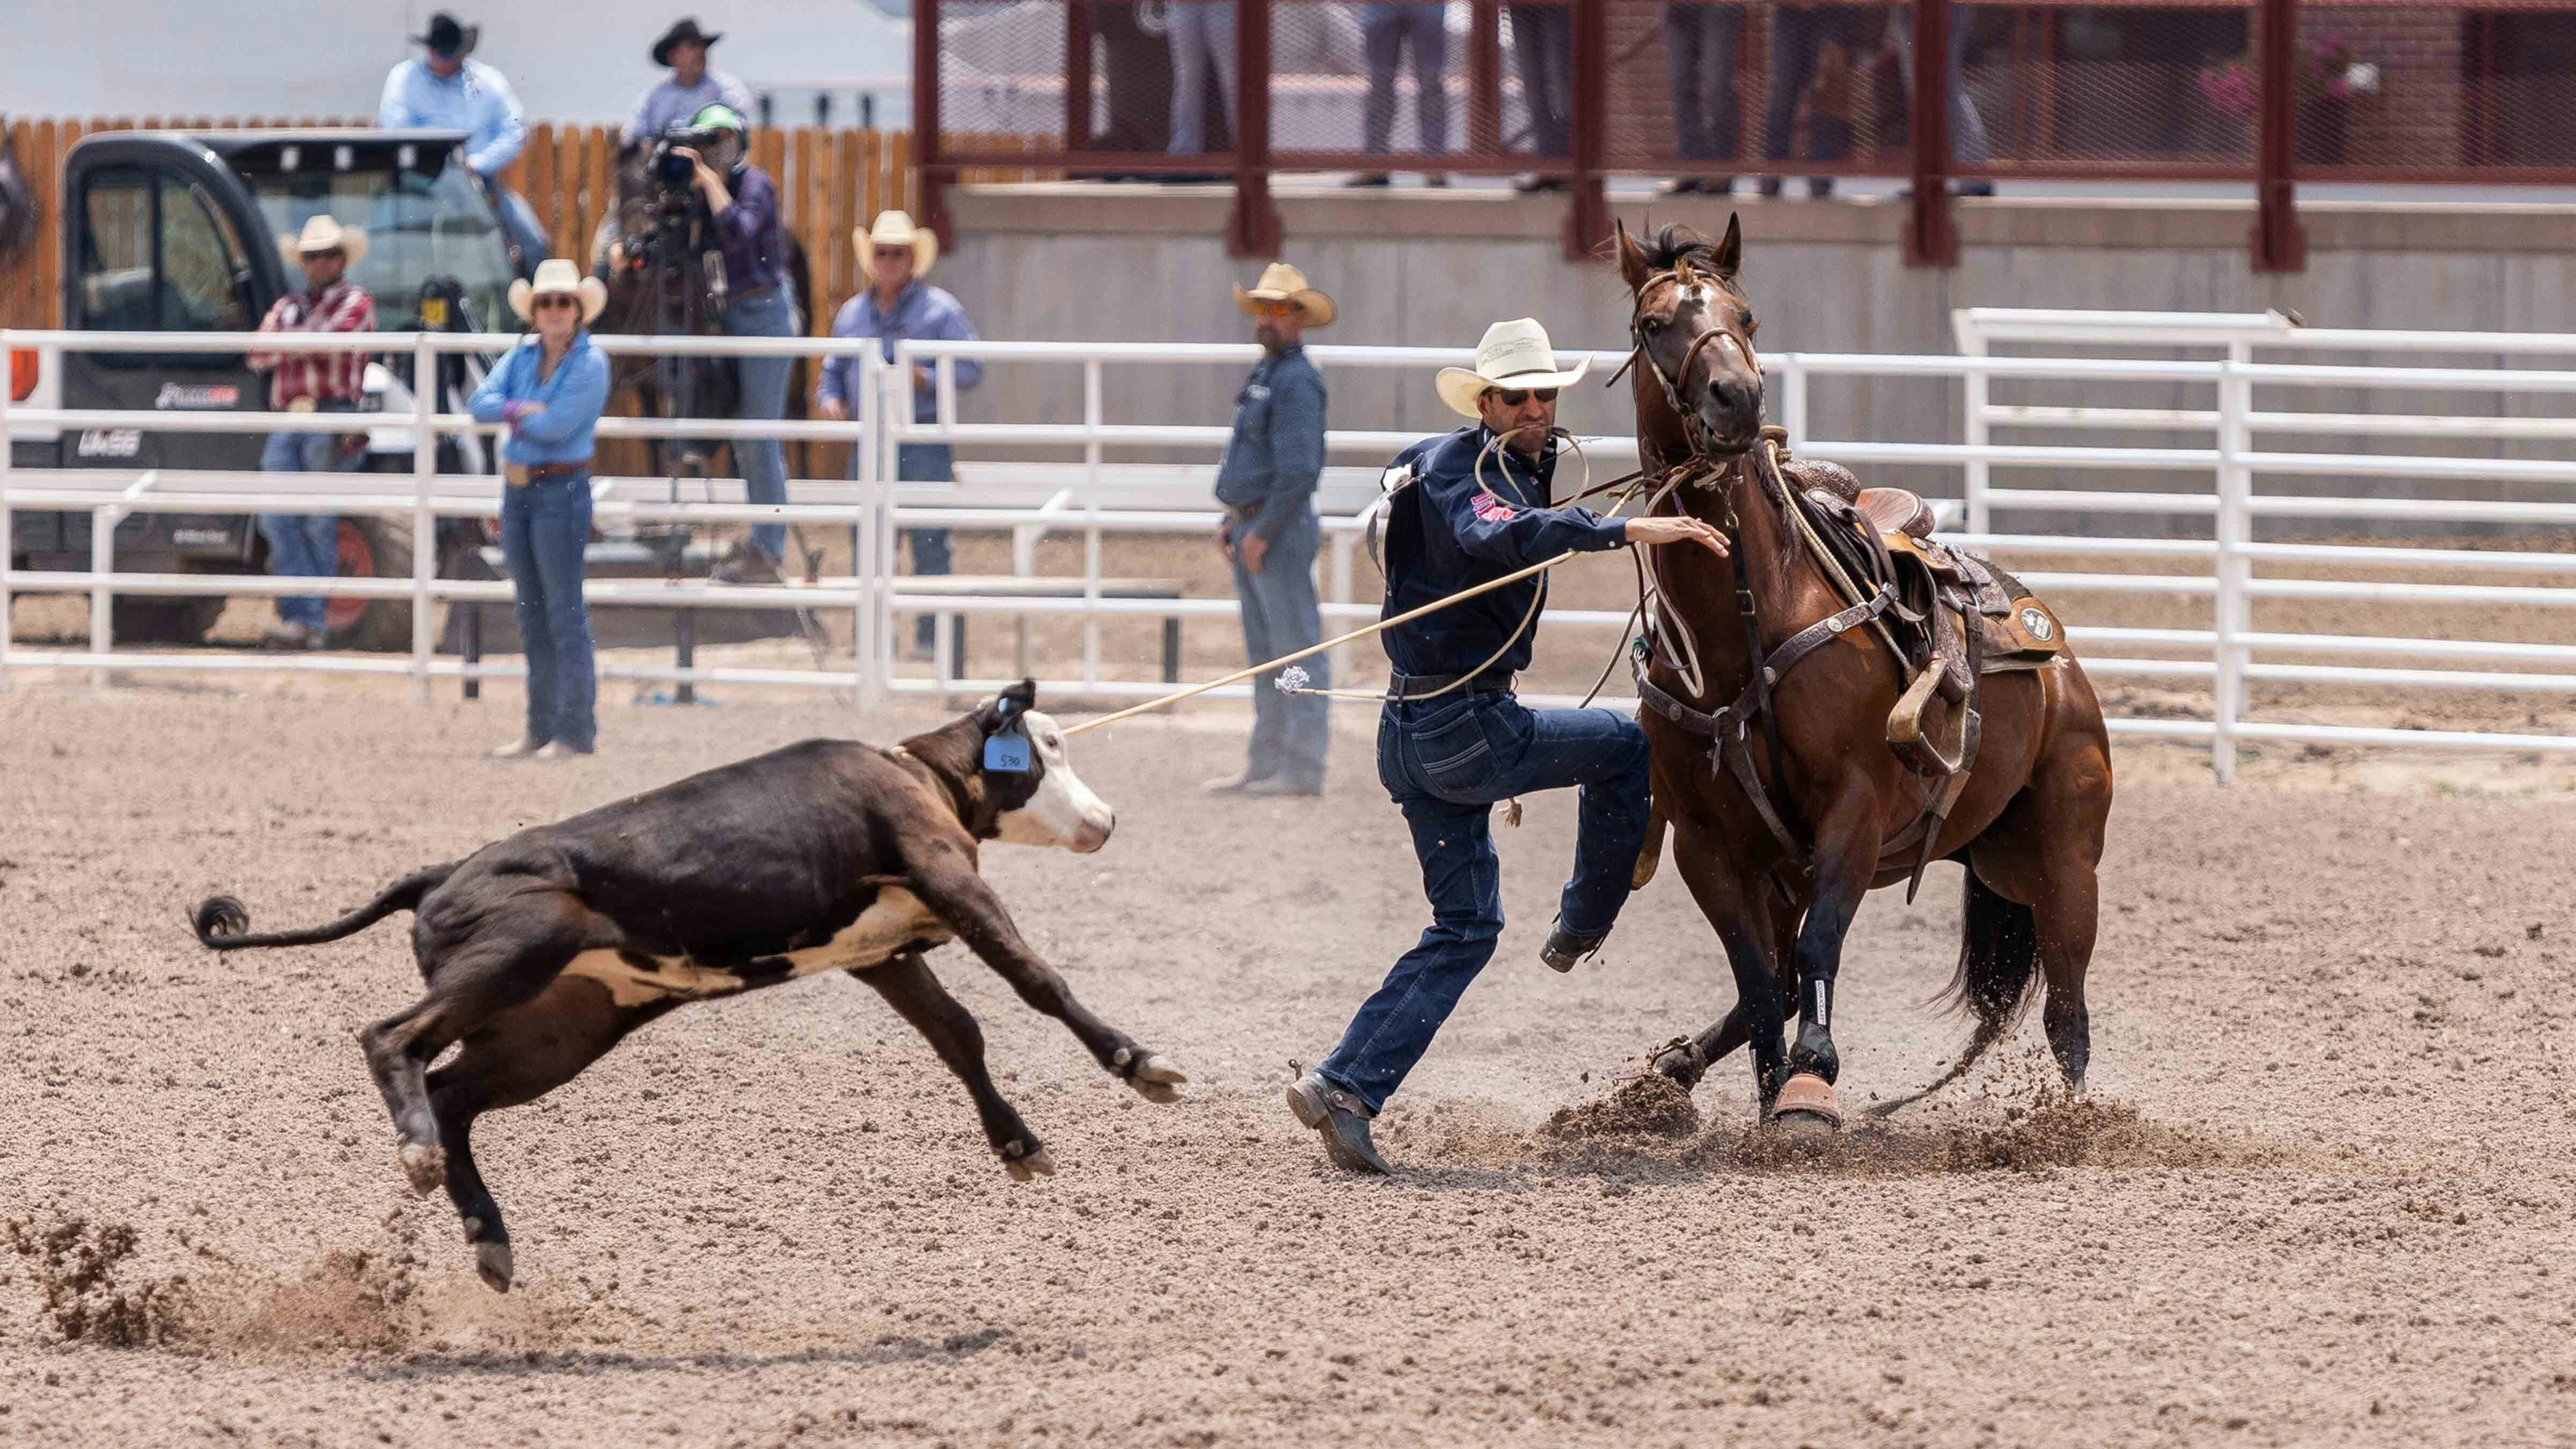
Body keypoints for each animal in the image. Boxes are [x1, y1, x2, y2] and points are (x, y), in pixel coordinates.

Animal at [187, 680, 1180, 1289]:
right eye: (1051, 744)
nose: (1105, 819)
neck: (919, 779)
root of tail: (439, 875)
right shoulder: (948, 880)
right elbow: (1035, 982)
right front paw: (1141, 1065)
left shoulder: (884, 953)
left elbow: (957, 1034)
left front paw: (1018, 1145)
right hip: (520, 952)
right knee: (392, 1040)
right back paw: (422, 1159)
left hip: (563, 1025)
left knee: (455, 1091)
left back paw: (490, 1239)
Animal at [1607, 214, 2112, 1124]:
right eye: (1652, 323)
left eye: (1747, 315)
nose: (1737, 399)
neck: (1747, 621)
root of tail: (2057, 658)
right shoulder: (1709, 845)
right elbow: (1757, 981)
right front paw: (1770, 1094)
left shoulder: (1855, 807)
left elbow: (1817, 949)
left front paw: (1810, 1079)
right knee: (1770, 981)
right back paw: (1673, 1067)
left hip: (2062, 859)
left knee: (2068, 1012)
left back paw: (2072, 1123)